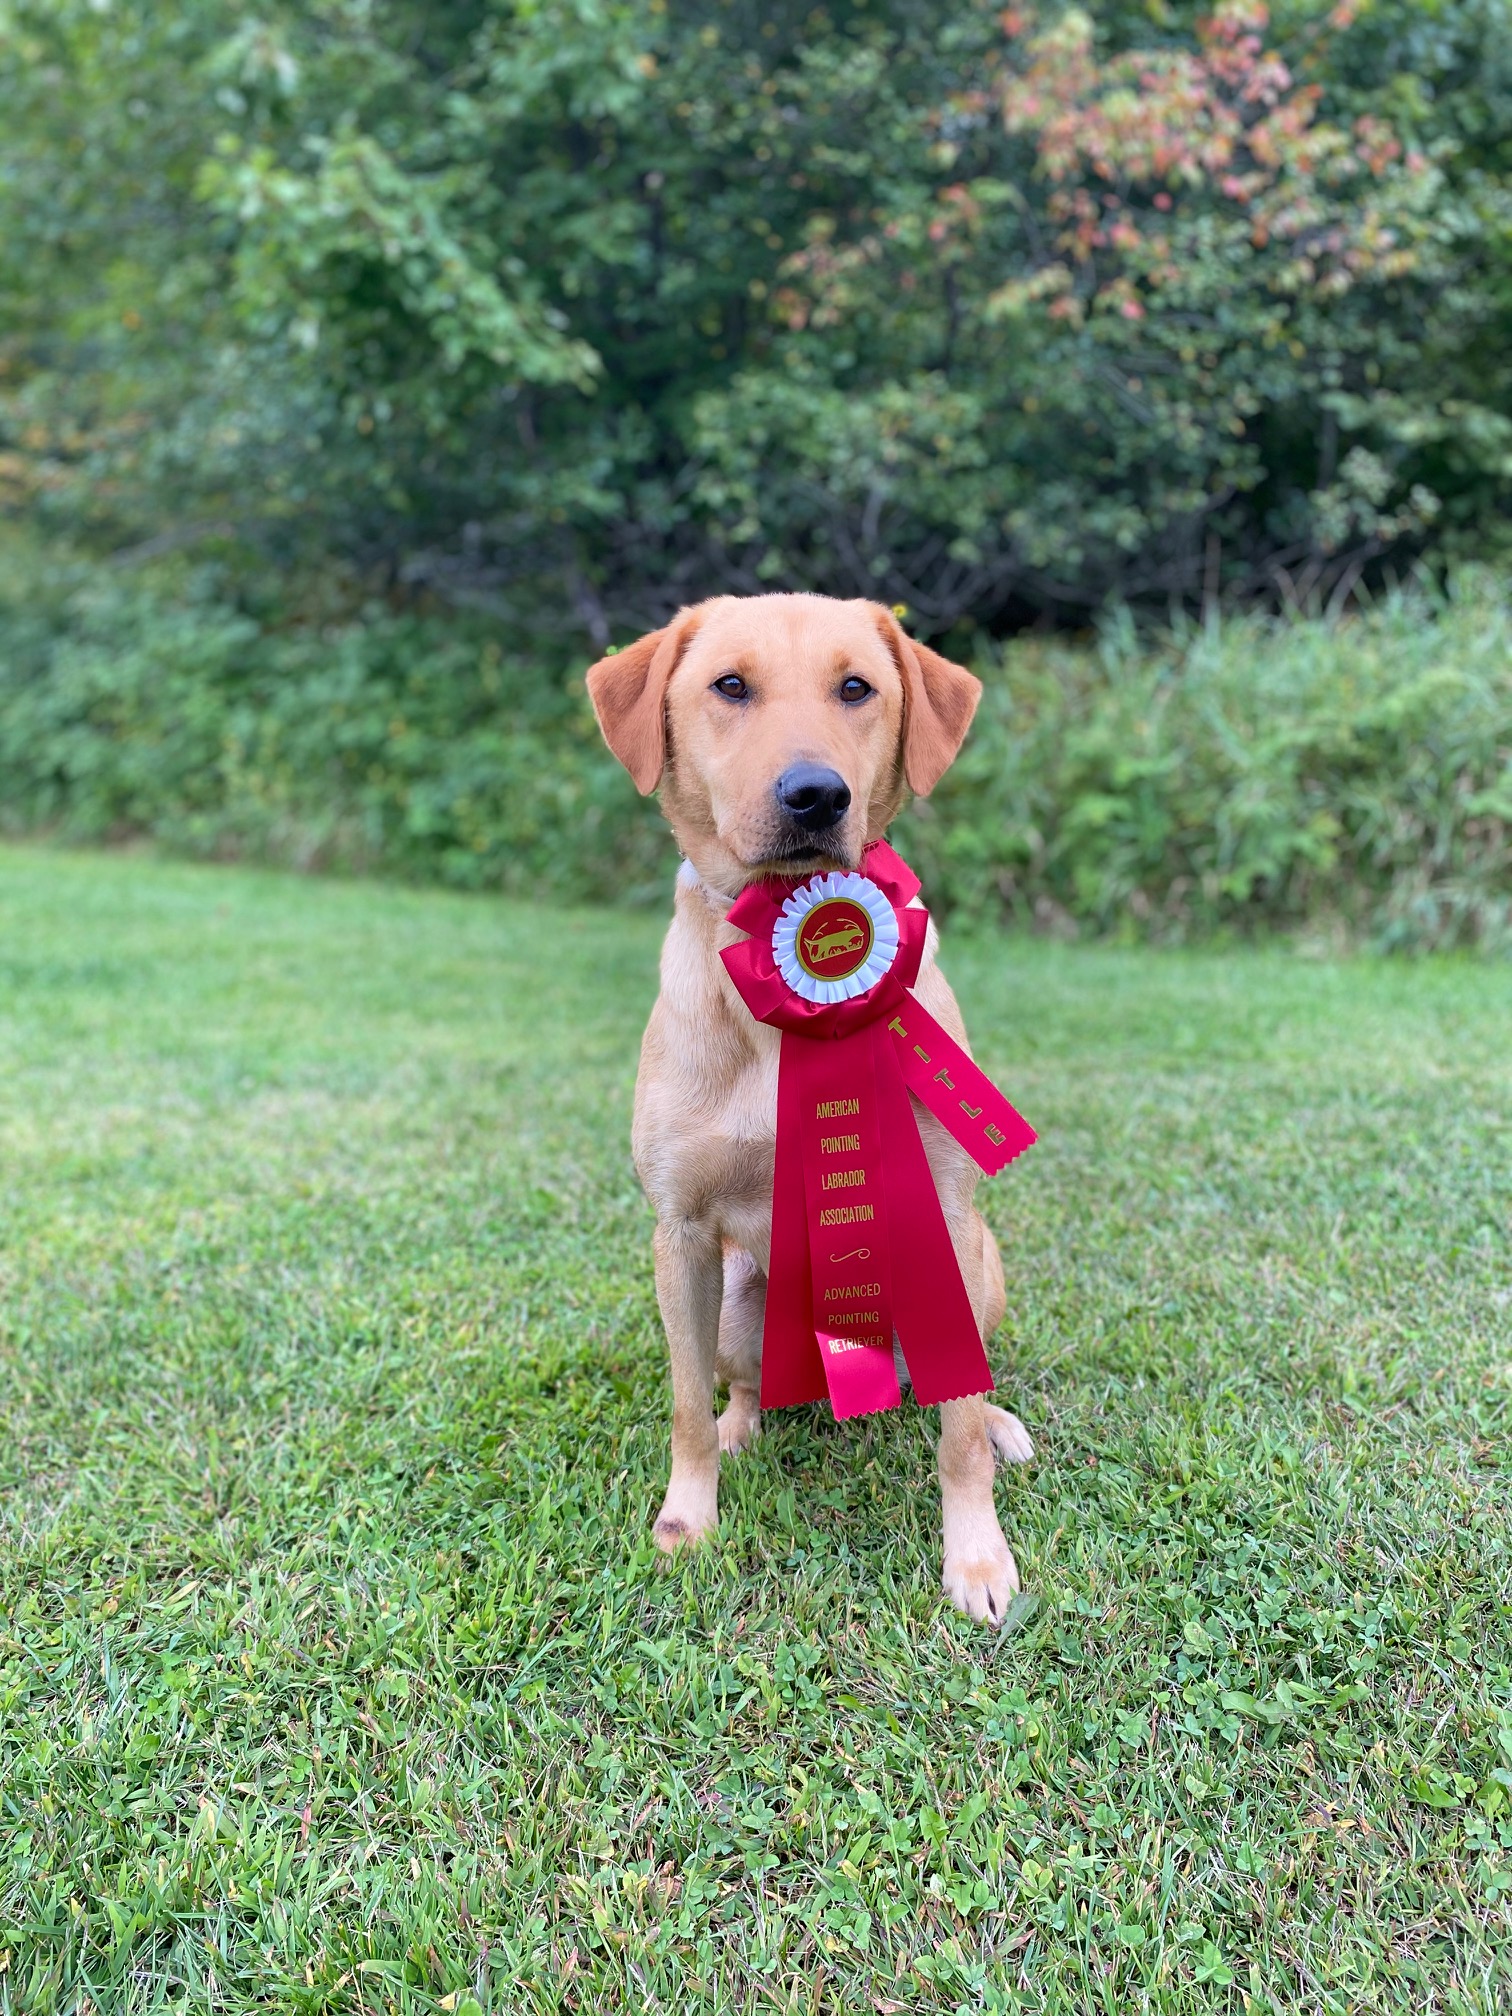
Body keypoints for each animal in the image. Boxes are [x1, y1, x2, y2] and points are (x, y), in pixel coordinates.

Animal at [592, 588, 1040, 1620]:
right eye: (729, 686)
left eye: (856, 688)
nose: (815, 795)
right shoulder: (679, 1232)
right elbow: (683, 1405)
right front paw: (687, 1520)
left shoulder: (945, 1214)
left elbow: (957, 1428)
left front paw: (977, 1558)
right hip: (735, 1303)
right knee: (745, 1387)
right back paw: (744, 1426)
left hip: (982, 1265)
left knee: (958, 1385)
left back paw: (1001, 1423)